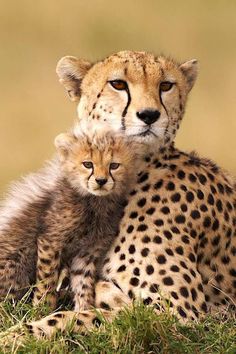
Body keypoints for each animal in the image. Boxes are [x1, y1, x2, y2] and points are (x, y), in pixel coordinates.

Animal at [25, 51, 234, 336]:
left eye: (165, 85)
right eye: (118, 84)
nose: (149, 115)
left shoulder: (181, 314)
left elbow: (77, 317)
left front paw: (17, 334)